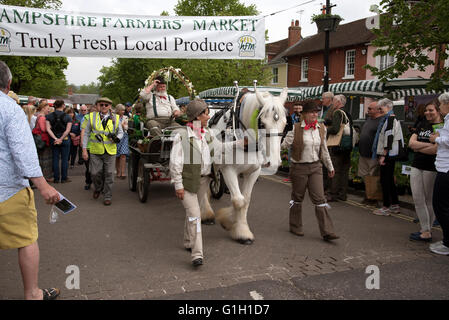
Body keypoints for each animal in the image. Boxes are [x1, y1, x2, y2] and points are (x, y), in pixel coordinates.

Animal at [200, 85, 288, 245]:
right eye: (262, 123)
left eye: (285, 124)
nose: (273, 162)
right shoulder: (228, 170)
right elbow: (238, 200)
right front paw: (236, 227)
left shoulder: (253, 172)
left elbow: (245, 200)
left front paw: (235, 223)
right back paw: (206, 214)